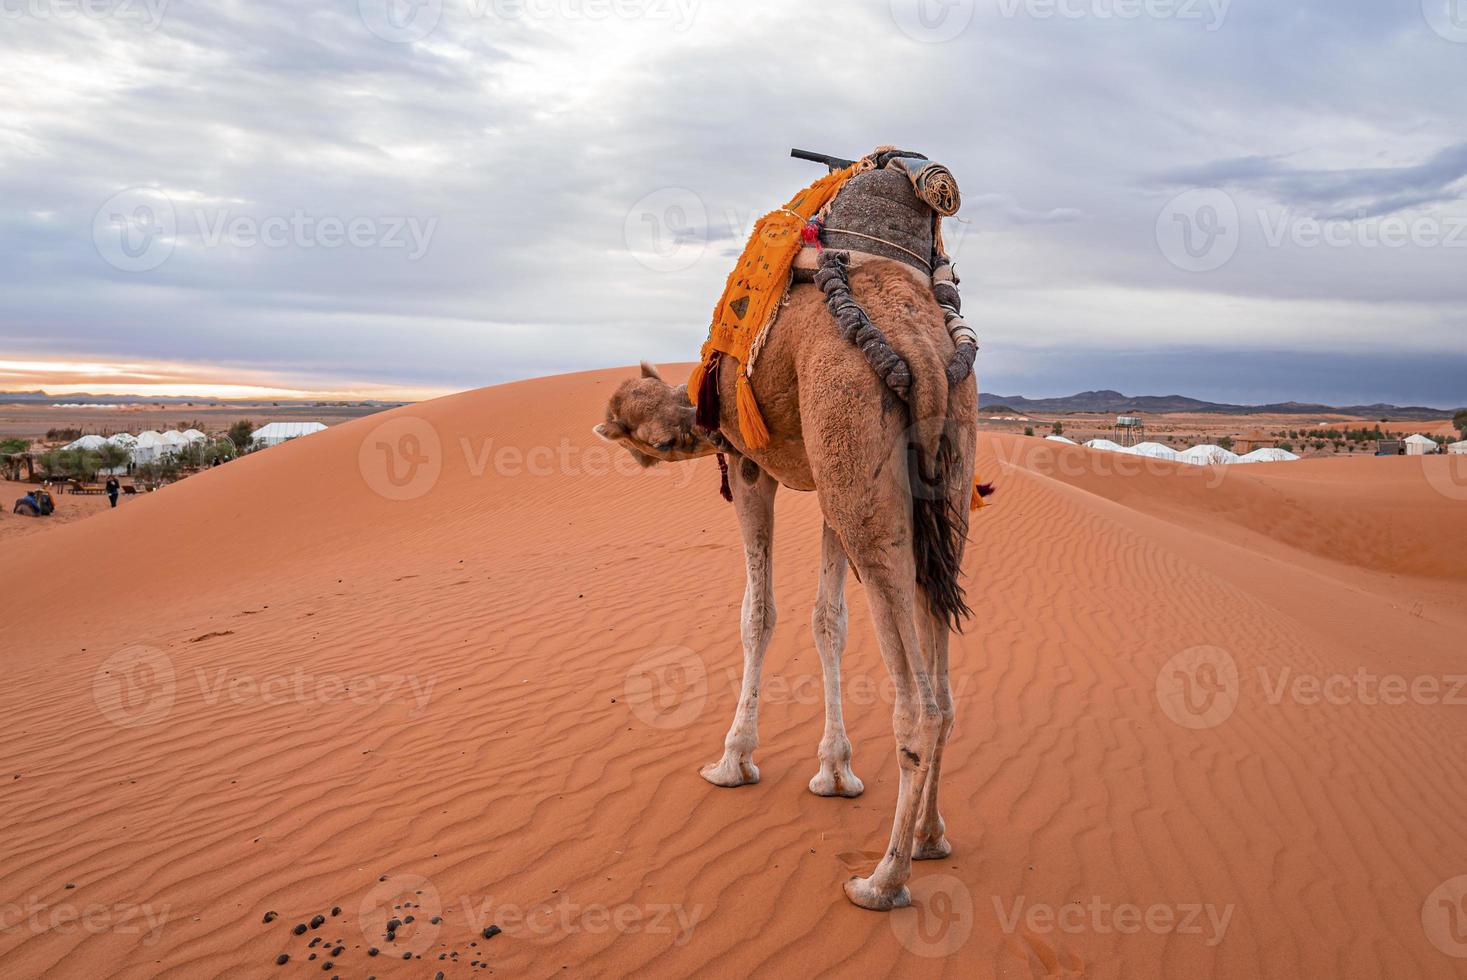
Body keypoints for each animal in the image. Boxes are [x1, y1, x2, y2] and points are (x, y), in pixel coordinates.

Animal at [589, 249, 979, 909]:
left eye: (657, 440)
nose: (696, 429)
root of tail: (922, 352)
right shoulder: (824, 486)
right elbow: (828, 620)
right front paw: (835, 772)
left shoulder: (750, 467)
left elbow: (758, 614)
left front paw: (733, 761)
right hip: (940, 474)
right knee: (945, 690)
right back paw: (931, 836)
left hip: (856, 453)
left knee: (919, 706)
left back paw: (883, 880)